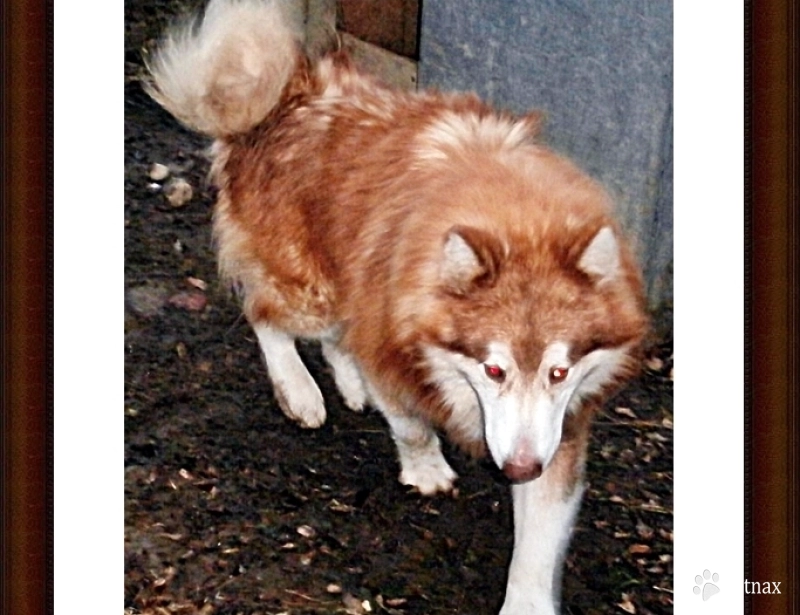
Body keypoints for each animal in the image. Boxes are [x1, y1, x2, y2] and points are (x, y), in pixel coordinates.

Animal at [147, 2, 648, 612]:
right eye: (493, 369)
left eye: (560, 371)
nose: (520, 468)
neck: (518, 222)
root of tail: (295, 90)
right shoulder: (389, 341)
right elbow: (409, 423)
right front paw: (426, 467)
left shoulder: (563, 425)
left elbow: (537, 544)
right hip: (311, 289)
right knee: (266, 314)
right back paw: (300, 390)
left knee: (333, 336)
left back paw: (347, 382)